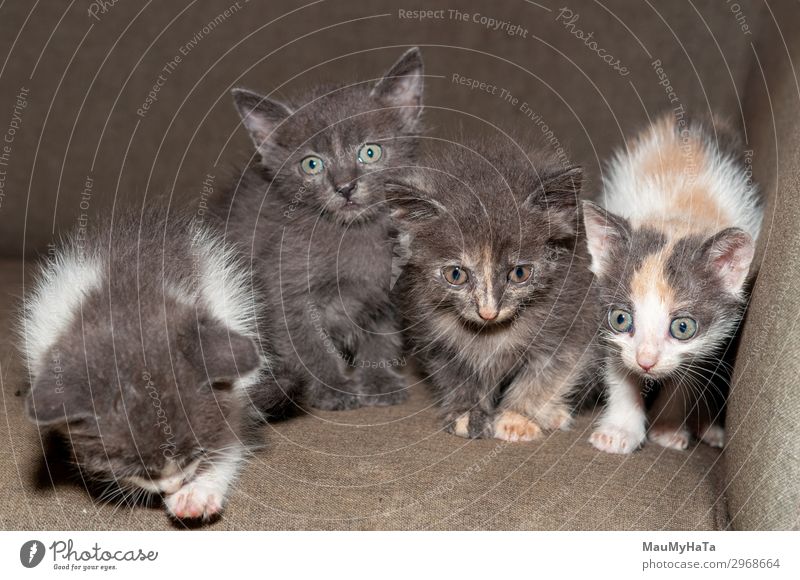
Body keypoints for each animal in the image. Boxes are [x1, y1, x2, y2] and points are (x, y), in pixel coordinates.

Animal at [18, 207, 268, 520]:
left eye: (193, 454)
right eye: (142, 470)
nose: (173, 485)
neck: (129, 302)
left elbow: (232, 435)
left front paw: (199, 491)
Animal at [212, 48, 424, 412]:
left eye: (370, 152)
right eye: (312, 164)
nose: (345, 187)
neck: (351, 233)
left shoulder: (387, 290)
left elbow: (382, 336)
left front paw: (379, 381)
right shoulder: (285, 291)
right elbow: (308, 345)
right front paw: (333, 388)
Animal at [388, 139, 600, 440]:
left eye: (519, 273)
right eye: (456, 274)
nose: (488, 312)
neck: (491, 332)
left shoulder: (574, 319)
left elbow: (548, 374)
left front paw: (517, 418)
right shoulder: (432, 334)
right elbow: (456, 374)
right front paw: (466, 412)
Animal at [580, 115, 764, 456]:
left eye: (682, 328)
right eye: (621, 319)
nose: (646, 361)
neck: (679, 212)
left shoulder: (708, 335)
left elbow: (689, 372)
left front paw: (667, 427)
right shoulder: (610, 328)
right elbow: (620, 368)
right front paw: (619, 430)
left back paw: (709, 428)